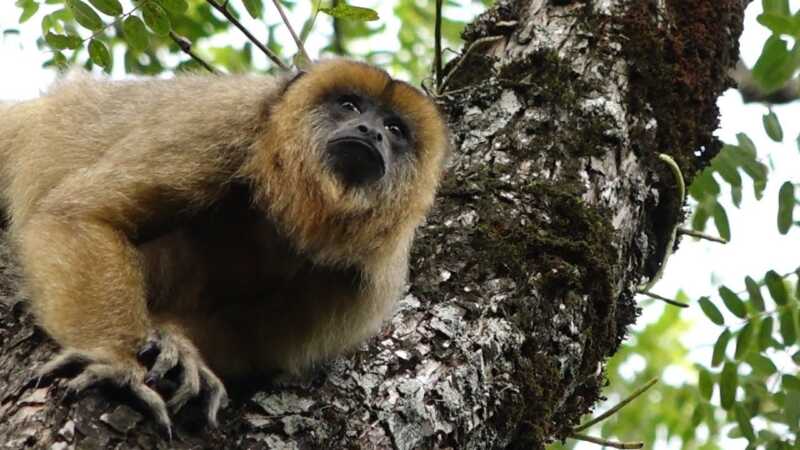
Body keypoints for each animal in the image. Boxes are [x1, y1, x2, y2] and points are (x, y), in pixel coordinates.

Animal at [0, 59, 449, 432]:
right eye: (350, 105)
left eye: (395, 129)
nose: (371, 132)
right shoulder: (224, 124)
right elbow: (84, 215)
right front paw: (114, 359)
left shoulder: (371, 278)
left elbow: (245, 341)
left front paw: (179, 346)